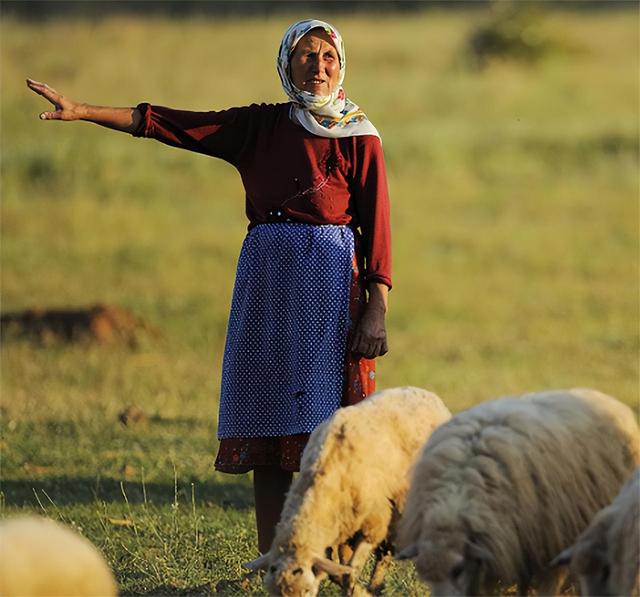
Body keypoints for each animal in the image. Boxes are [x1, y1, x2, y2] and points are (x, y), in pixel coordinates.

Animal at [244, 386, 450, 596]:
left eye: (307, 590)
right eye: (274, 593)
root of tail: (423, 392)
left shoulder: (374, 522)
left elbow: (349, 573)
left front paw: (360, 592)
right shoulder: (338, 530)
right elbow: (337, 573)